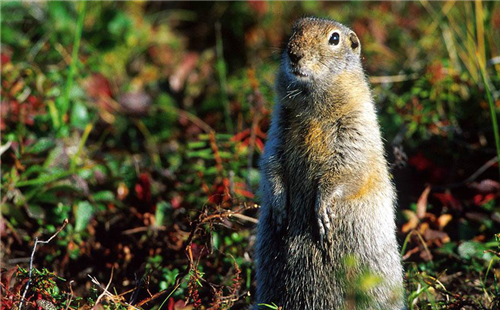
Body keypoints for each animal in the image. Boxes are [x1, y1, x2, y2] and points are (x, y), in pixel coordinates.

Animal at [256, 17, 404, 310]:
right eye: (294, 30)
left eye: (334, 39)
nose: (293, 53)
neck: (312, 103)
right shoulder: (278, 125)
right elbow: (271, 161)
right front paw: (278, 207)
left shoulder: (355, 127)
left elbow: (345, 167)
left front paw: (323, 211)